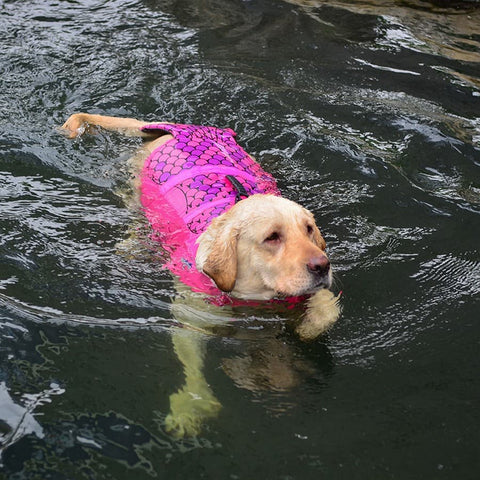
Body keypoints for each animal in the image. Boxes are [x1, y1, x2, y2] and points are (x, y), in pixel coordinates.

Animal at [61, 114, 342, 436]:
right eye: (272, 237)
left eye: (309, 229)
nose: (322, 265)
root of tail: (180, 127)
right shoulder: (191, 317)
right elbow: (192, 362)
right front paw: (192, 404)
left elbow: (327, 307)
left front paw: (308, 328)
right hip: (135, 190)